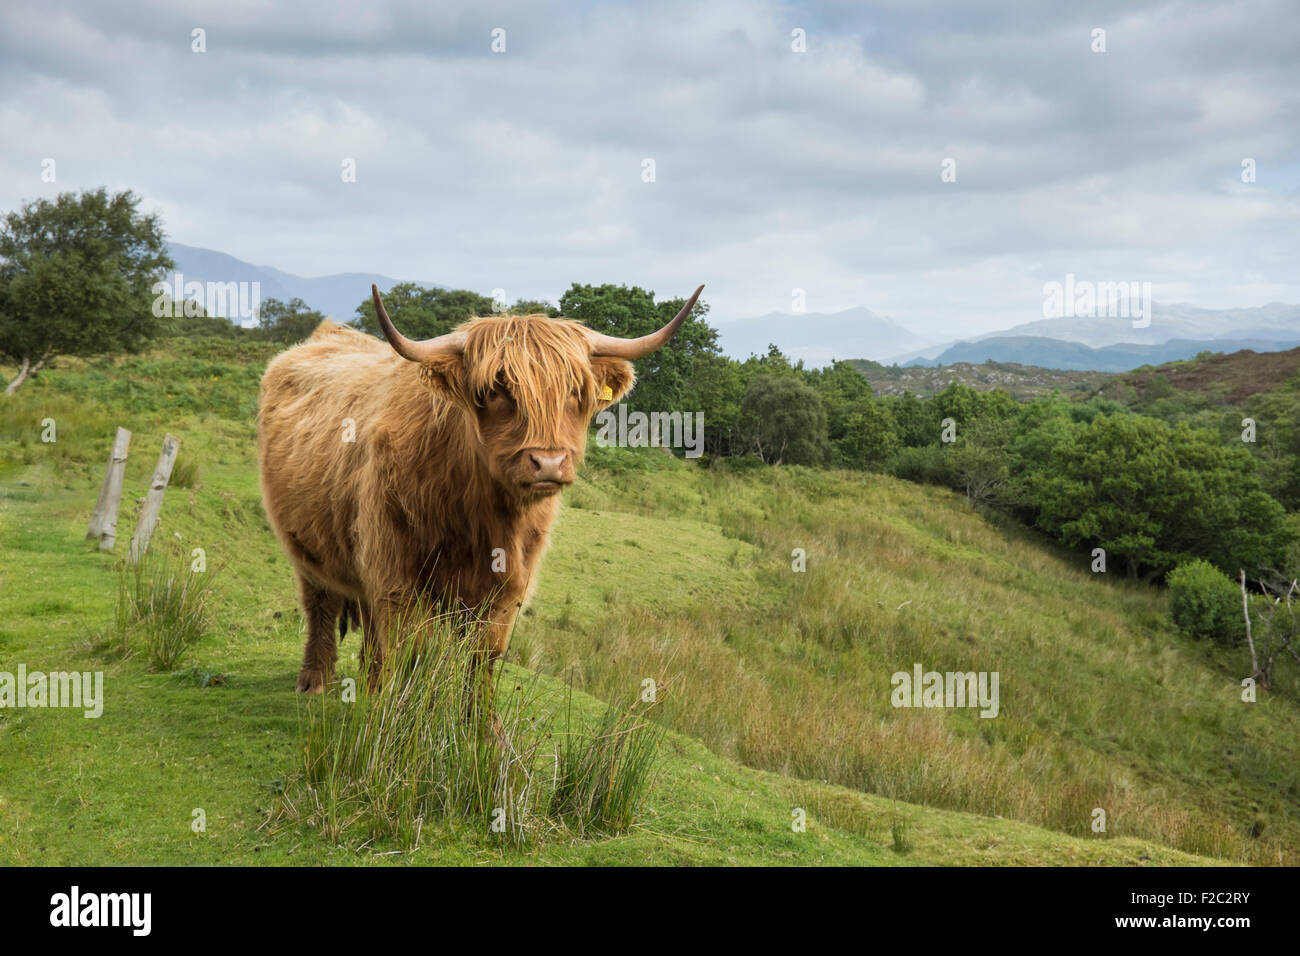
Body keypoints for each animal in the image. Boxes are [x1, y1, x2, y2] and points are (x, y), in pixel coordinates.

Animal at [257, 282, 703, 694]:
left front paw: (481, 728)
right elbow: (410, 653)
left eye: (577, 392)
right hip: (305, 547)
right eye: (495, 390)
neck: (482, 515)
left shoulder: (508, 586)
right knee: (320, 604)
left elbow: (482, 659)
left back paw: (369, 684)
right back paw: (315, 682)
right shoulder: (396, 573)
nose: (549, 463)